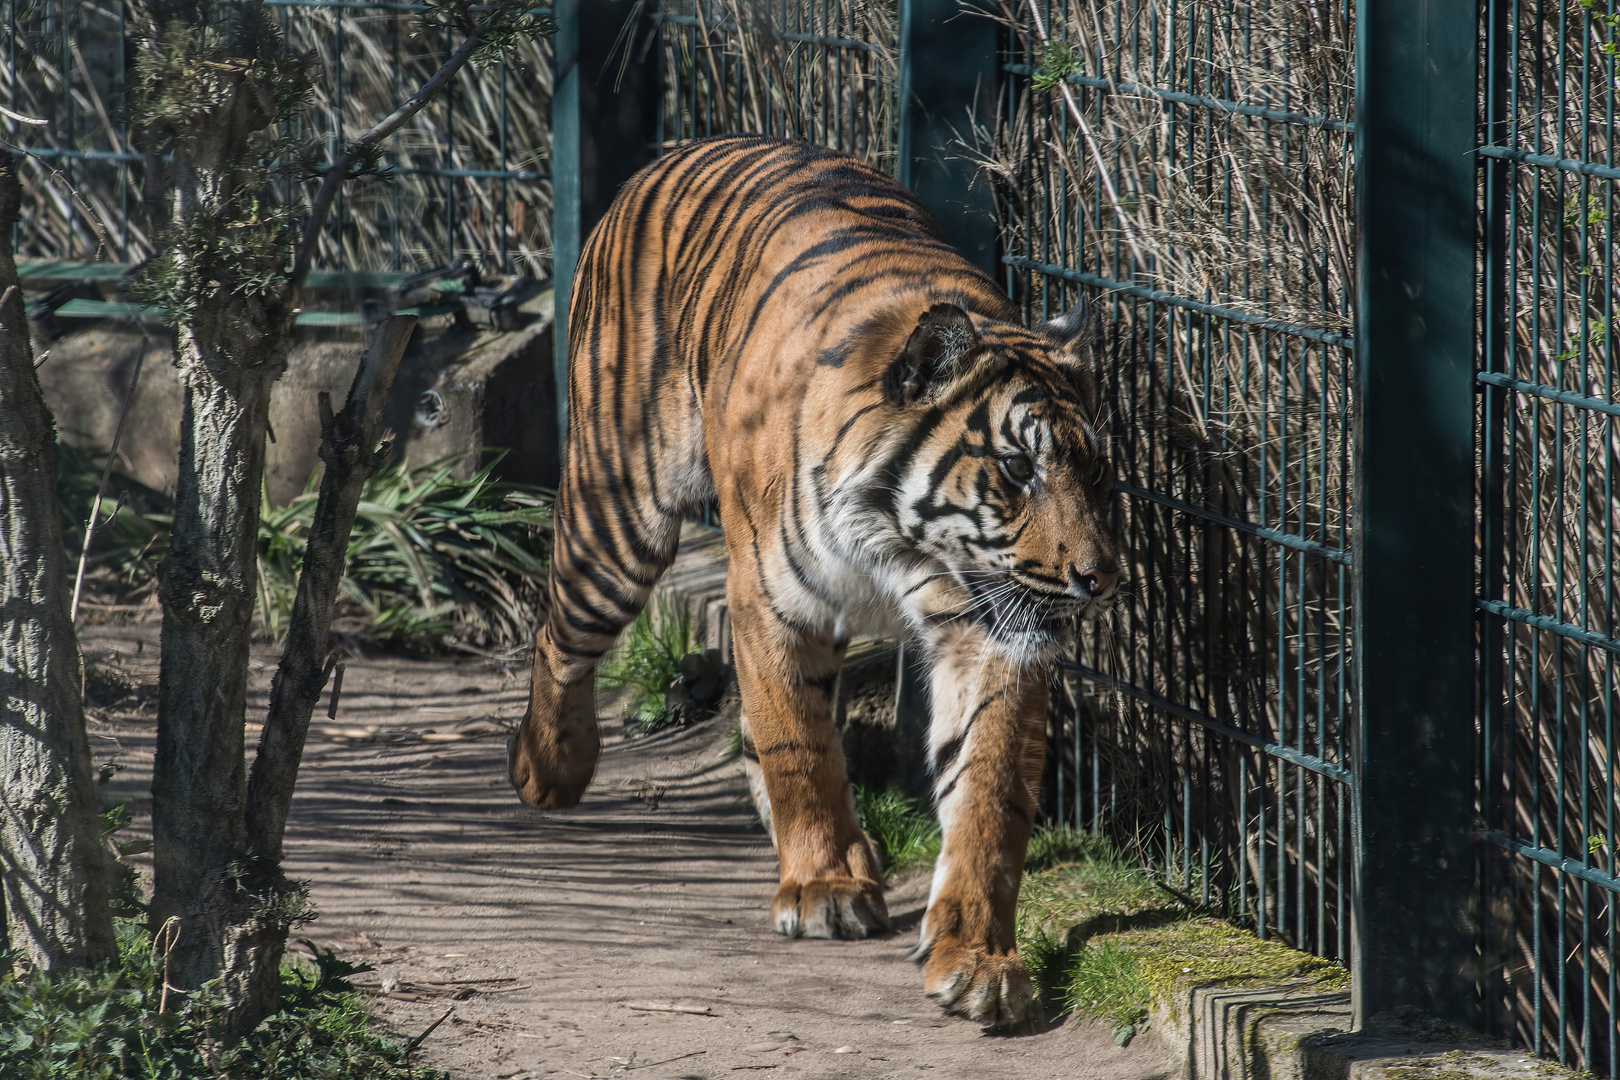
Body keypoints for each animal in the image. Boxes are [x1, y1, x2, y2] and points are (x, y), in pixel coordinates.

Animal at [511, 135, 1121, 1029]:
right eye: (1017, 470)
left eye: (1094, 470)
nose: (1099, 577)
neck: (903, 546)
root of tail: (673, 153)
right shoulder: (770, 600)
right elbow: (798, 743)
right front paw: (825, 888)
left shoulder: (988, 631)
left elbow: (988, 789)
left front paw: (978, 959)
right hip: (616, 514)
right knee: (558, 632)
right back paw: (550, 767)